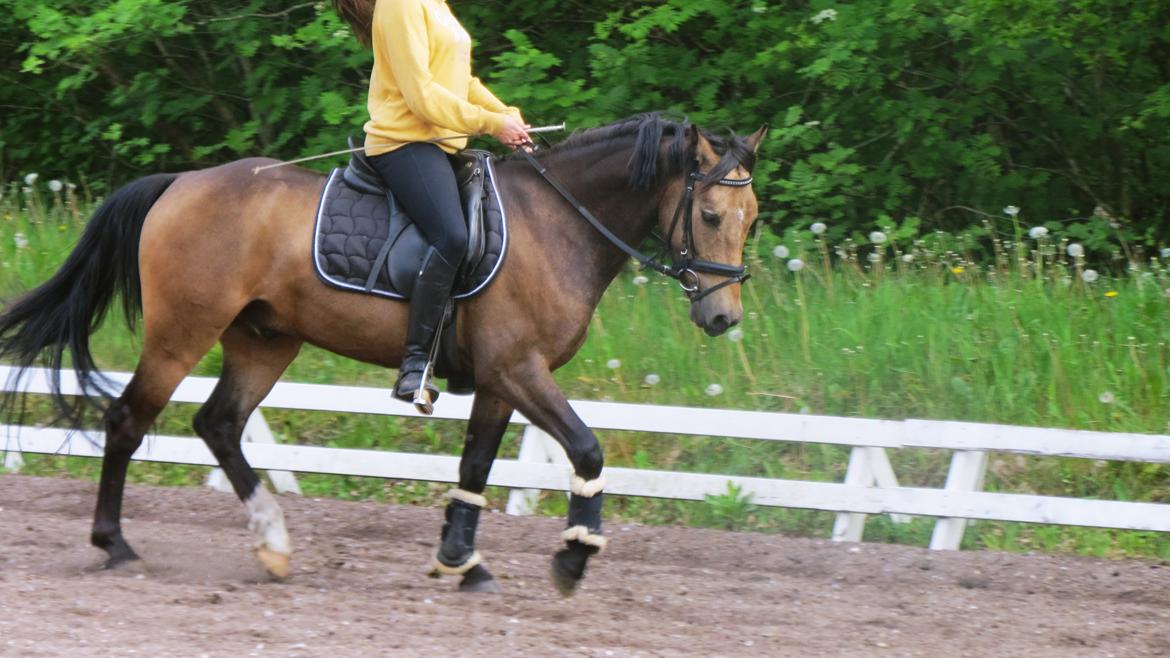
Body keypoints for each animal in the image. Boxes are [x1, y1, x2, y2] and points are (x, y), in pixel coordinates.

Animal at [0, 112, 767, 594]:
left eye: (752, 219)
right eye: (709, 215)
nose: (722, 317)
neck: (560, 224)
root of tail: (180, 183)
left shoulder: (500, 380)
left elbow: (476, 467)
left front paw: (462, 563)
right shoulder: (519, 370)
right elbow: (587, 449)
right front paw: (573, 560)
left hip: (264, 339)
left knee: (218, 423)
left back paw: (273, 544)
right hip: (182, 332)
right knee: (128, 421)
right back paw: (116, 545)